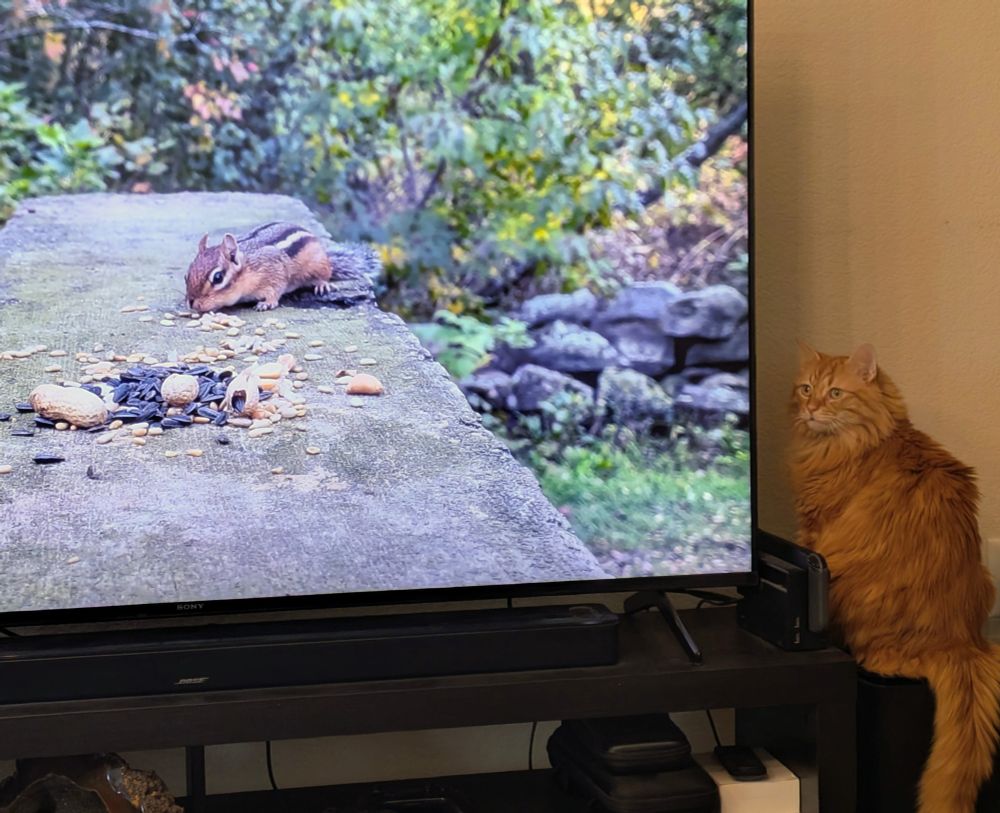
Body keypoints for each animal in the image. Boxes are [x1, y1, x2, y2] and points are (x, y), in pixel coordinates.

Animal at [185, 222, 380, 313]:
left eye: (217, 278)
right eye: (186, 275)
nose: (192, 302)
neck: (248, 266)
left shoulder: (274, 271)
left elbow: (275, 290)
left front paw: (266, 303)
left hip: (318, 265)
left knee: (326, 273)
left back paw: (322, 284)